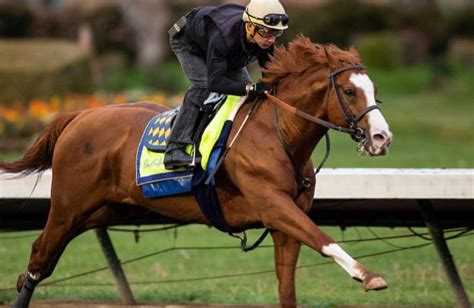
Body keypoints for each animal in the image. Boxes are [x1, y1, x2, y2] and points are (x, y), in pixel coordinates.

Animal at [0, 36, 392, 308]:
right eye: (348, 90)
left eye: (375, 91)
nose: (382, 138)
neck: (278, 132)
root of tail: (78, 115)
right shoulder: (273, 204)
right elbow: (323, 238)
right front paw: (369, 276)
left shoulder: (284, 224)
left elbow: (288, 287)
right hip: (69, 207)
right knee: (40, 253)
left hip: (102, 211)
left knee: (42, 260)